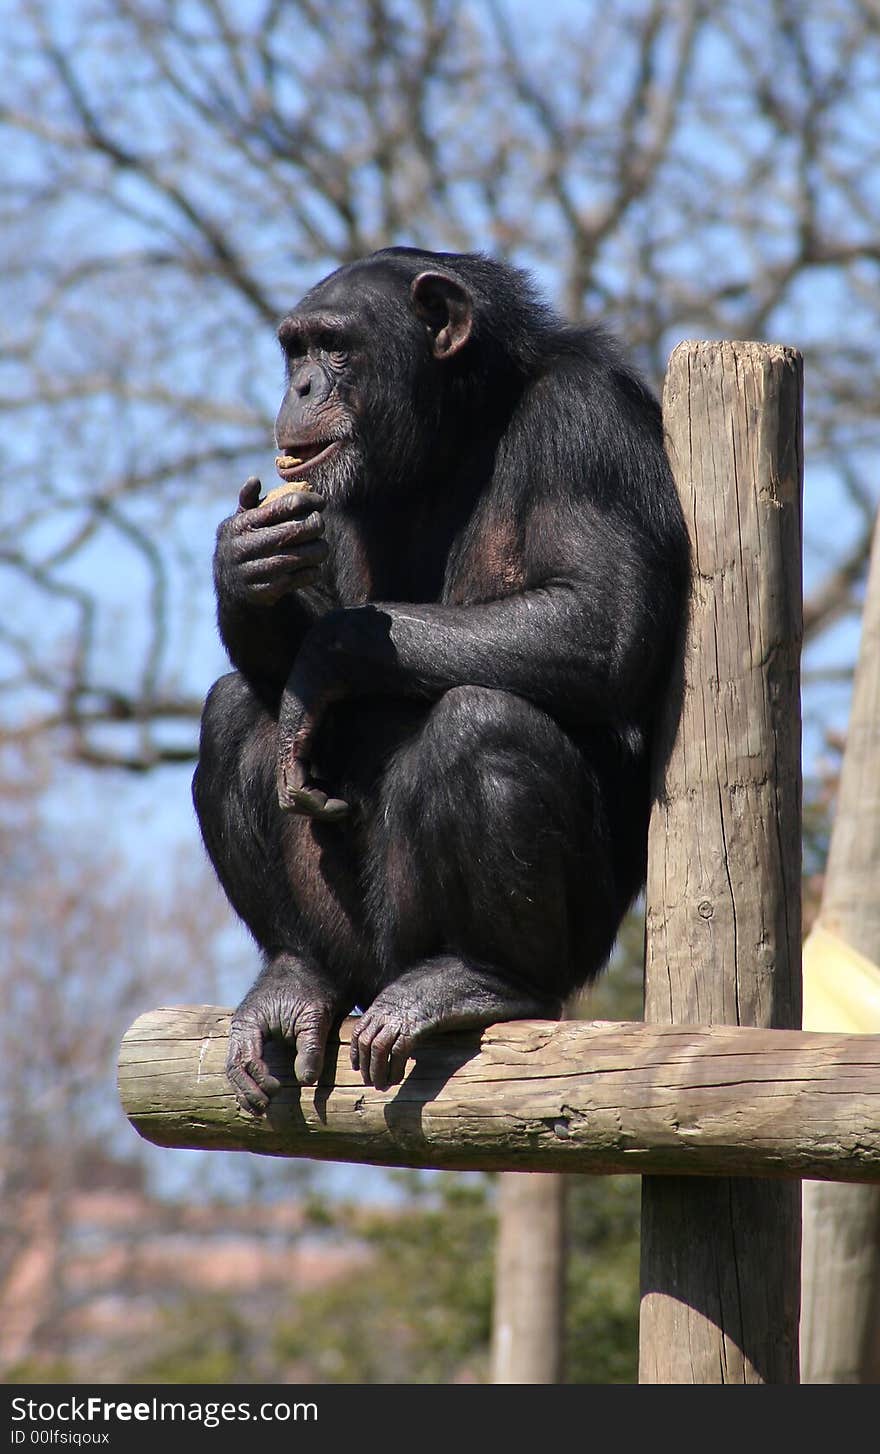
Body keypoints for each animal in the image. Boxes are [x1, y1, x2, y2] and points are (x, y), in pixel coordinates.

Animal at [190, 250, 686, 1110]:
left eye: (335, 347)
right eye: (295, 350)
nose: (302, 388)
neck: (455, 430)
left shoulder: (588, 421)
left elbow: (602, 618)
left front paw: (331, 652)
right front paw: (242, 560)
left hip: (538, 949)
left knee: (482, 722)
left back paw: (480, 979)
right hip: (356, 947)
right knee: (235, 710)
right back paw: (295, 978)